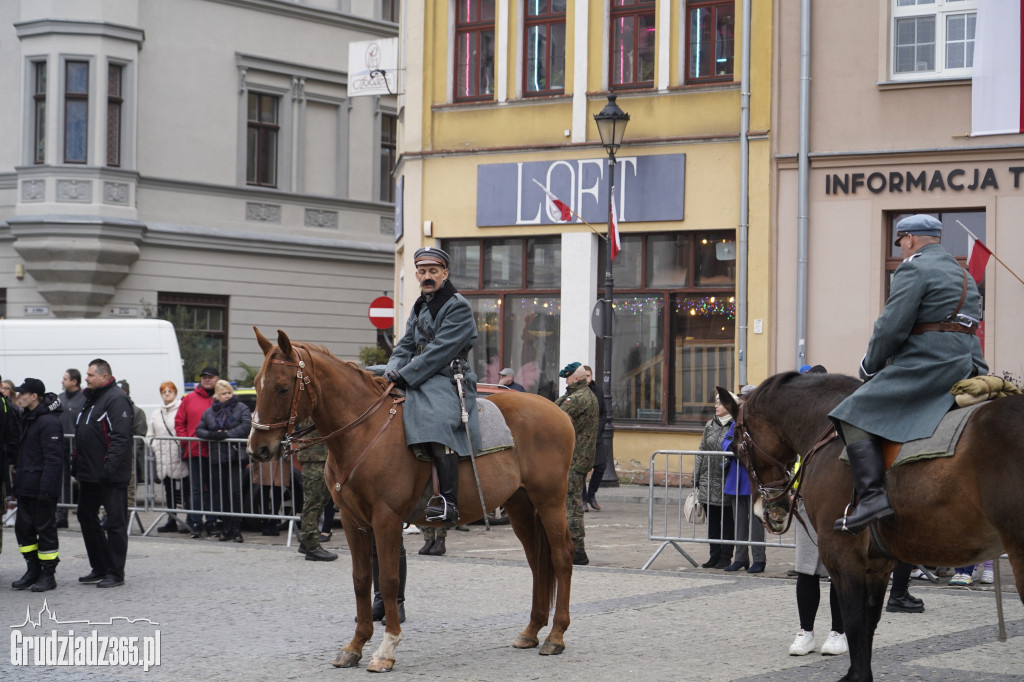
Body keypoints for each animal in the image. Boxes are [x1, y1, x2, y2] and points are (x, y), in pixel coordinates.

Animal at [245, 327, 577, 667]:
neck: (364, 431)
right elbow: (362, 578)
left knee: (561, 557)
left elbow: (389, 579)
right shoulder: (353, 520)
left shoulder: (386, 519)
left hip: (550, 501)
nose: (257, 449)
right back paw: (532, 630)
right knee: (537, 562)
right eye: (257, 384)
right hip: (520, 505)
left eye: (283, 388)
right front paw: (355, 644)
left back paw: (555, 636)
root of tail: (556, 409)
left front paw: (386, 647)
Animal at [720, 372, 1024, 679]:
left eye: (734, 446)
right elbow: (868, 624)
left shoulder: (842, 555)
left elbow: (854, 620)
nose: (767, 508)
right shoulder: (879, 565)